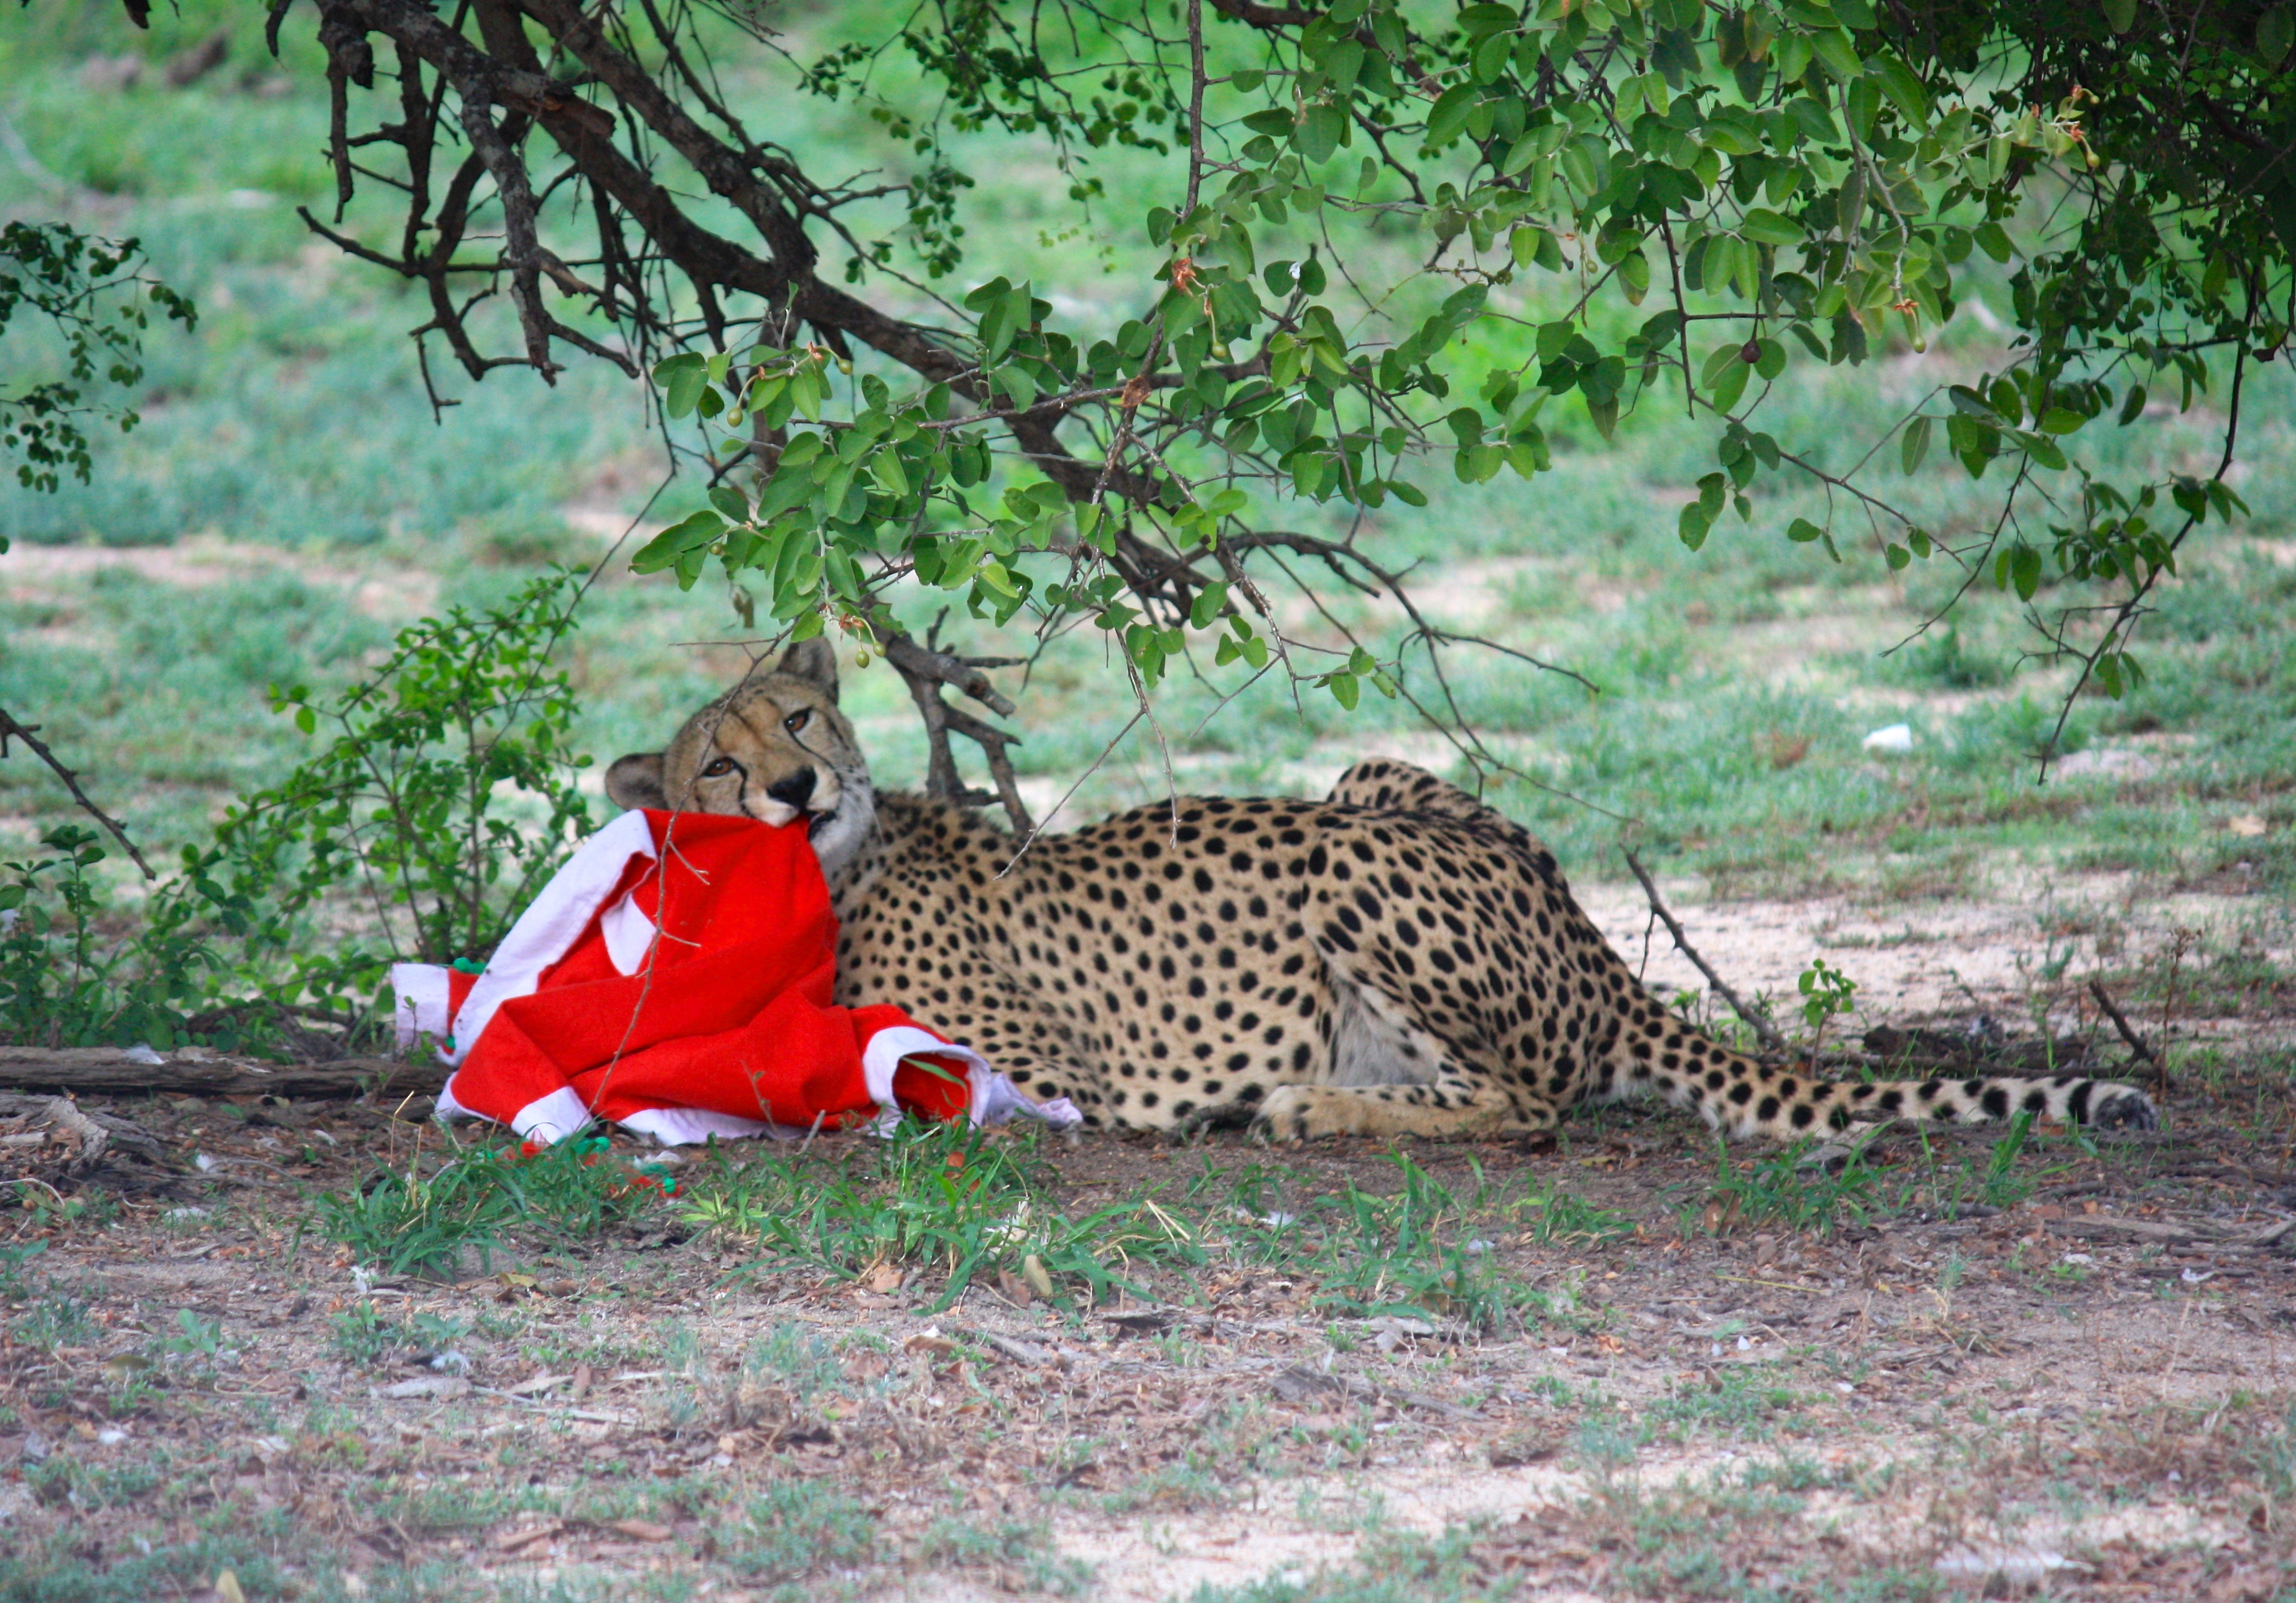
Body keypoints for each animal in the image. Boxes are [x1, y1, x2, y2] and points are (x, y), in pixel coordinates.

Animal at [604, 641, 2159, 1142]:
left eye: (800, 719)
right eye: (719, 761)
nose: (799, 787)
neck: (833, 876)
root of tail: (1590, 943)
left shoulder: (1050, 1063)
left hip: (1349, 846)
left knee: (1529, 1104)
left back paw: (1311, 1105)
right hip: (1369, 781)